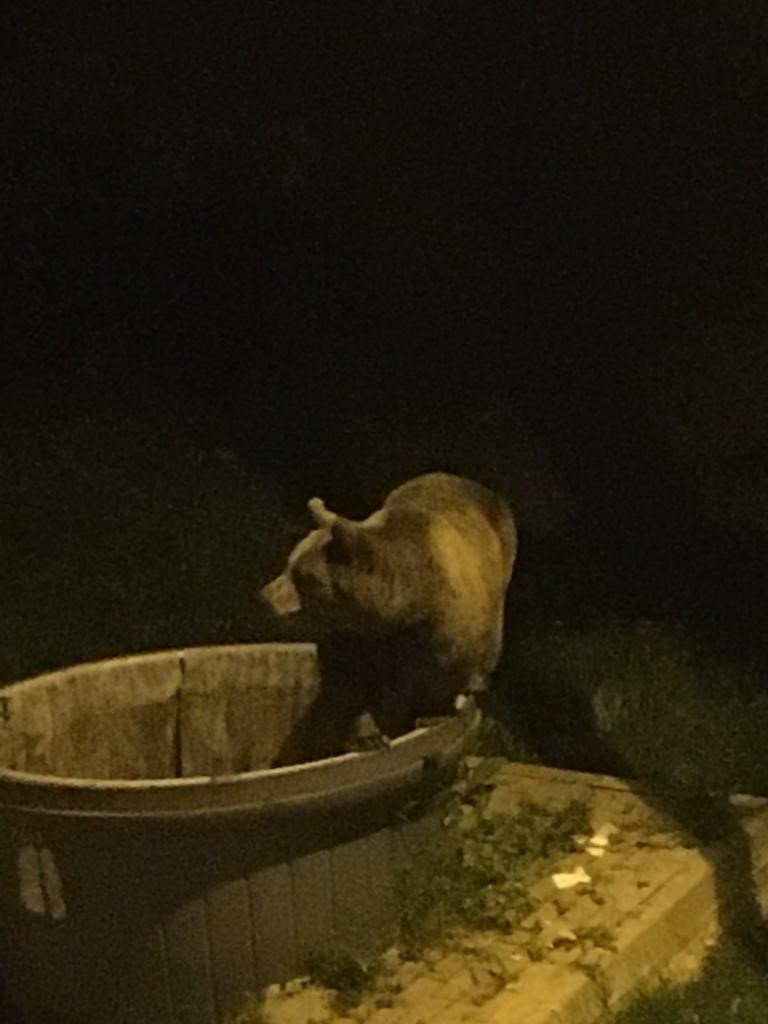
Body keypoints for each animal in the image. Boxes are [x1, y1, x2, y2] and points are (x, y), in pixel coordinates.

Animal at [259, 468, 518, 753]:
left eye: (302, 576)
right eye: (289, 563)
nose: (266, 597)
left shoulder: (442, 627)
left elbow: (443, 671)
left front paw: (432, 713)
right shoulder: (353, 637)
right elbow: (347, 685)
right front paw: (365, 735)